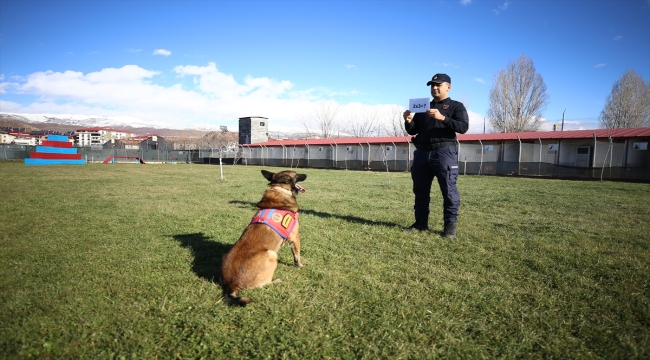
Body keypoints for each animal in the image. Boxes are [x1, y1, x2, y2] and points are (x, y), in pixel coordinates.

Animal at [220, 170, 306, 306]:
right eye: (296, 174)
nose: (307, 174)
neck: (281, 189)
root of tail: (231, 284)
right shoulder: (295, 238)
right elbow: (297, 256)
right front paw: (300, 266)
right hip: (272, 255)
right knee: (263, 284)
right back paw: (276, 281)